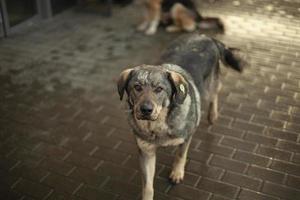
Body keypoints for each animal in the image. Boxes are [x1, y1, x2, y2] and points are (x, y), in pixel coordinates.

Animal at [116, 33, 245, 199]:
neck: (158, 125)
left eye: (159, 89)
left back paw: (212, 114)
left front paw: (177, 173)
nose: (146, 110)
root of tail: (206, 36)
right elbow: (148, 186)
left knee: (216, 93)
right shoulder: (146, 152)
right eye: (137, 87)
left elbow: (180, 156)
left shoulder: (186, 137)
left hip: (210, 87)